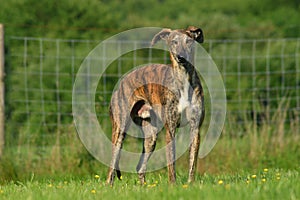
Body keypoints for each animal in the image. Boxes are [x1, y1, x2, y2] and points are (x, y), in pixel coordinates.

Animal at [106, 25, 205, 185]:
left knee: (140, 166)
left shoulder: (195, 127)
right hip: (119, 131)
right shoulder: (171, 129)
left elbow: (192, 162)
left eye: (189, 41)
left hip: (150, 136)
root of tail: (120, 84)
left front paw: (191, 184)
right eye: (174, 42)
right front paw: (173, 185)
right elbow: (171, 162)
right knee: (112, 166)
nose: (181, 58)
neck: (183, 80)